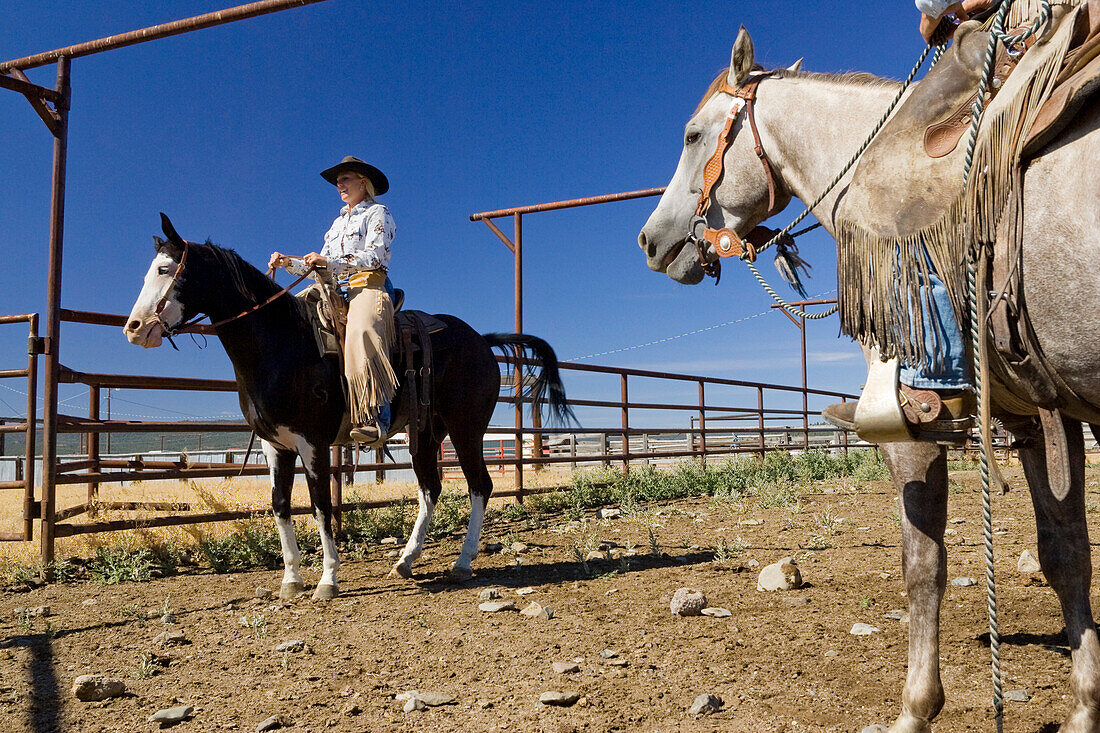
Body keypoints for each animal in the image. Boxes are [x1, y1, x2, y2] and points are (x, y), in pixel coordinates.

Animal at [126, 212, 576, 598]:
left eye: (165, 270)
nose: (134, 328)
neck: (283, 344)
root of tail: (481, 341)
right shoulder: (276, 445)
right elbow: (280, 506)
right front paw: (291, 579)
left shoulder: (313, 443)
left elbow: (322, 506)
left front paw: (327, 580)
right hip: (426, 434)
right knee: (430, 488)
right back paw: (405, 561)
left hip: (467, 430)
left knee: (479, 486)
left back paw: (462, 563)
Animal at [638, 27, 1100, 730]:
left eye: (693, 135)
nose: (650, 240)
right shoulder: (1041, 414)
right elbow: (1066, 554)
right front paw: (1084, 706)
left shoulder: (913, 430)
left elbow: (922, 564)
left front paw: (916, 708)